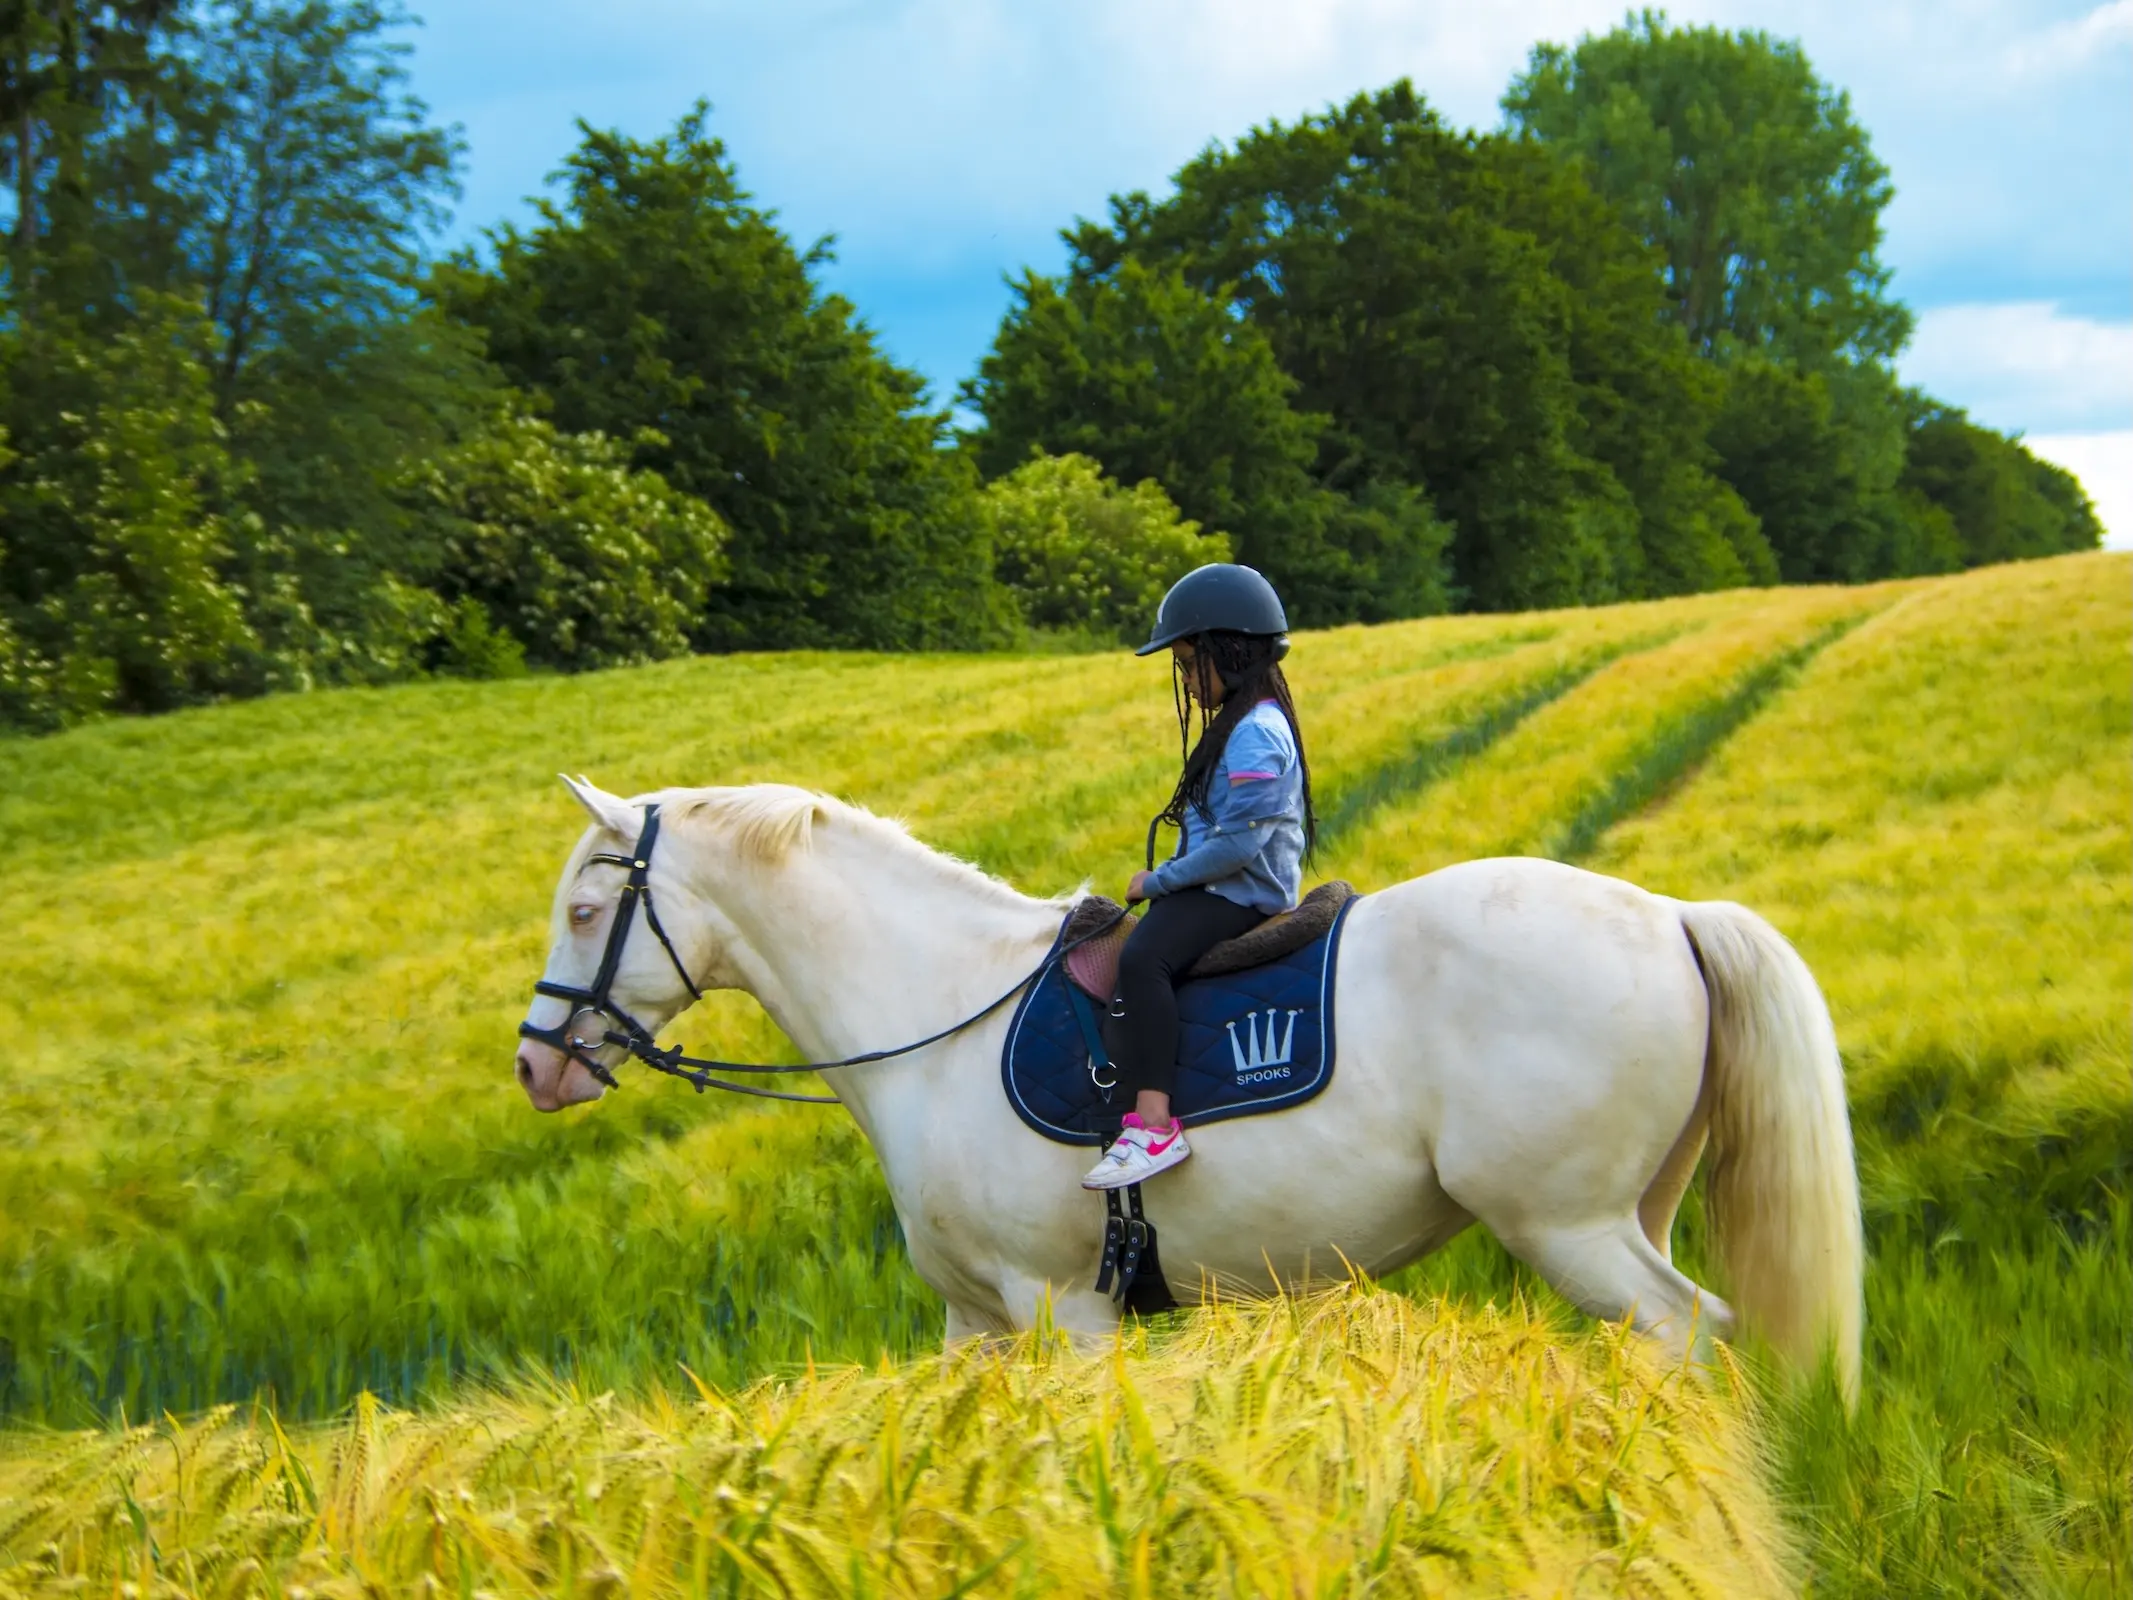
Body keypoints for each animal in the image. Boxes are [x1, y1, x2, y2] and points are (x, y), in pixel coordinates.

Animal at [514, 776, 1863, 1398]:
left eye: (584, 909)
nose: (535, 1064)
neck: (937, 1013)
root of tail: (1673, 912)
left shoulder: (1061, 1309)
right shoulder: (974, 1322)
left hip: (1568, 1226)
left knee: (1688, 1331)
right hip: (1632, 1209)